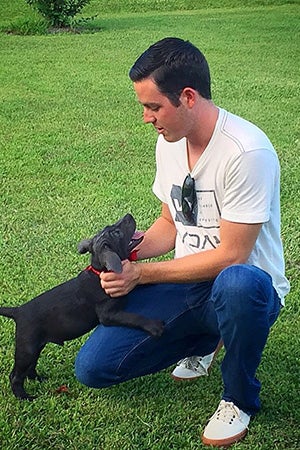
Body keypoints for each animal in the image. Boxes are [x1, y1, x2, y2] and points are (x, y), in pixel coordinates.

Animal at [0, 214, 164, 400]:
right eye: (117, 233)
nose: (128, 215)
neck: (100, 272)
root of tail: (18, 311)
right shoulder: (108, 315)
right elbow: (133, 317)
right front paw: (154, 326)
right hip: (27, 348)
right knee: (15, 375)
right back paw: (24, 397)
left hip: (34, 346)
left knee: (30, 367)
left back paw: (39, 379)